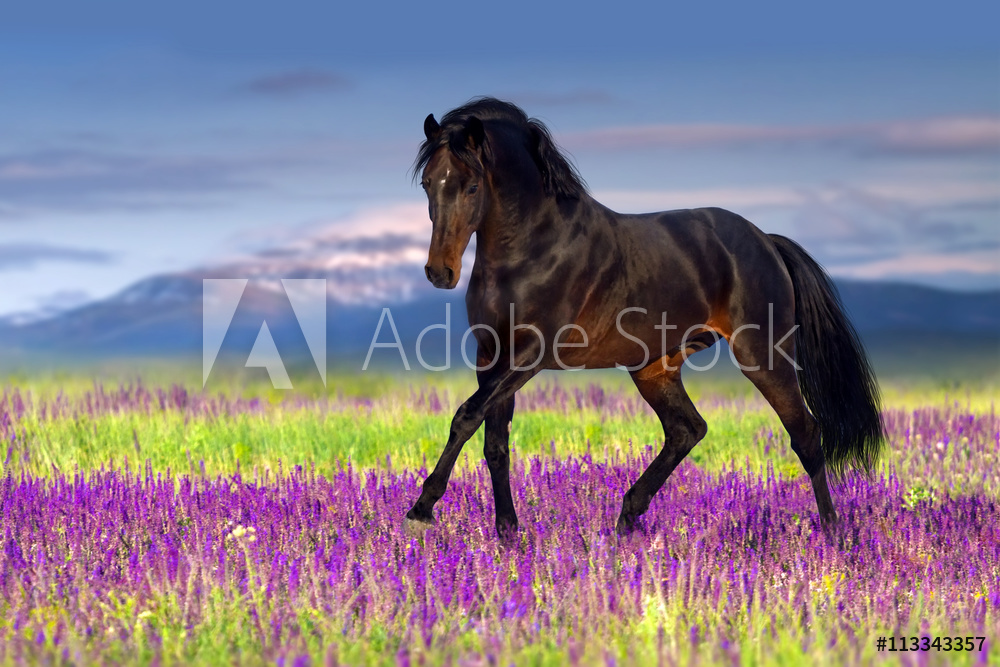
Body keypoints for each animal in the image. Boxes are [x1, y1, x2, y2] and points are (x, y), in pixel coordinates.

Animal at [402, 98, 880, 536]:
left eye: (470, 187)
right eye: (427, 184)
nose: (439, 272)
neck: (532, 249)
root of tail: (766, 240)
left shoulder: (529, 355)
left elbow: (466, 416)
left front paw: (422, 509)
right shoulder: (491, 355)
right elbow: (494, 442)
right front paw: (508, 532)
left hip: (763, 357)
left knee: (806, 434)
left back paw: (833, 532)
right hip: (655, 367)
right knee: (688, 429)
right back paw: (627, 517)